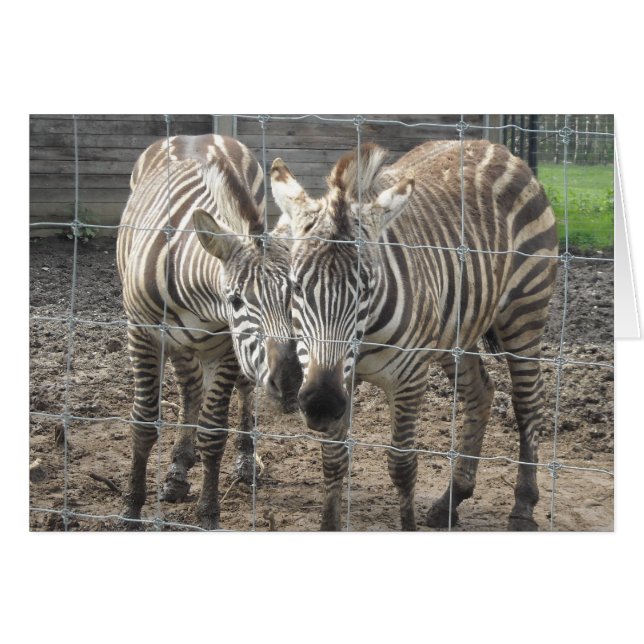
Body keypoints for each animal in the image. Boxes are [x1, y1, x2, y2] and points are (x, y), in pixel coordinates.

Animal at [117, 134, 301, 529]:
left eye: (297, 294)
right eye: (235, 300)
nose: (291, 382)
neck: (201, 300)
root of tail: (197, 137)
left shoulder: (229, 347)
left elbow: (213, 433)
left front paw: (208, 513)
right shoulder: (142, 333)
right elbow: (143, 422)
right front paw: (131, 509)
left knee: (242, 390)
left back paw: (245, 461)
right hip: (180, 342)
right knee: (190, 390)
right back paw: (177, 470)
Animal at [270, 139, 558, 531]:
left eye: (366, 289)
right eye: (296, 287)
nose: (321, 404)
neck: (364, 339)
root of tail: (494, 146)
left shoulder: (408, 379)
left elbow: (402, 466)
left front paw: (407, 523)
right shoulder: (338, 376)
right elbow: (333, 459)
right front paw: (329, 524)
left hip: (525, 310)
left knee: (528, 402)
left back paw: (523, 507)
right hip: (457, 332)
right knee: (480, 393)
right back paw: (450, 501)